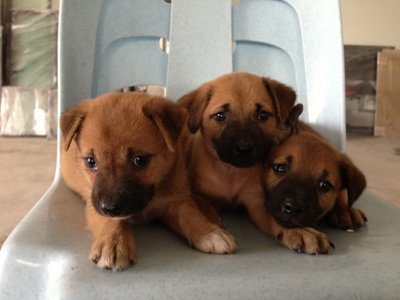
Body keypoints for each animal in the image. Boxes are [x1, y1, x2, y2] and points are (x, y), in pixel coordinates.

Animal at [60, 90, 236, 270]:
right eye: (91, 161)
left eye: (140, 160)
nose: (109, 208)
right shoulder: (93, 203)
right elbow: (110, 220)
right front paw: (114, 240)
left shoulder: (177, 201)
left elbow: (191, 216)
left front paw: (209, 232)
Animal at [178, 72, 332, 253]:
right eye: (220, 116)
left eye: (262, 115)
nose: (244, 148)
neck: (230, 173)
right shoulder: (197, 194)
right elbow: (207, 212)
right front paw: (213, 232)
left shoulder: (256, 201)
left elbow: (275, 217)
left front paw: (301, 232)